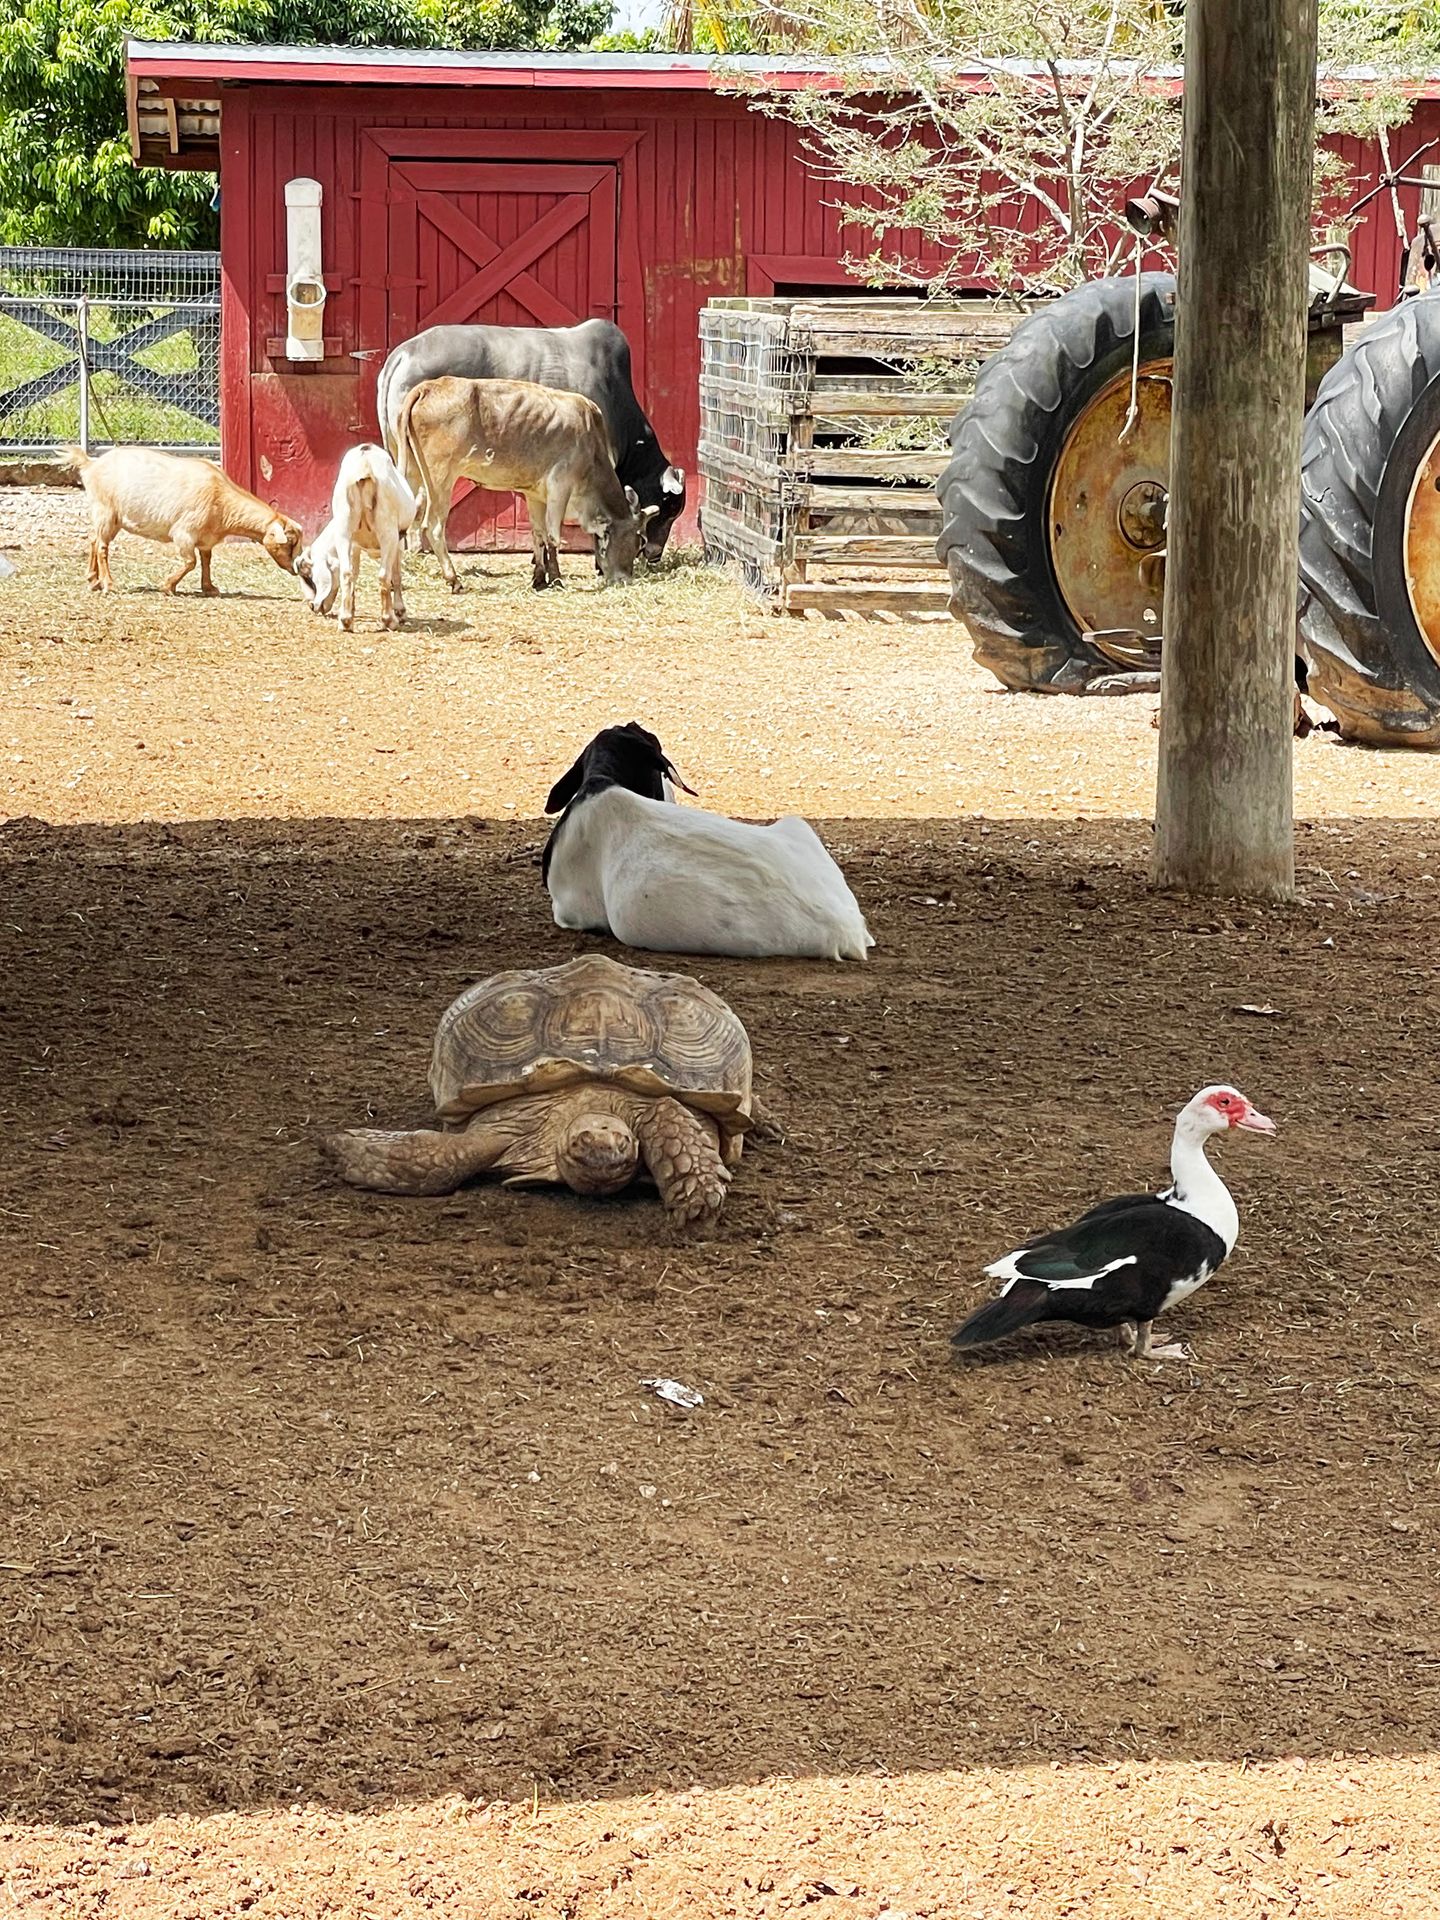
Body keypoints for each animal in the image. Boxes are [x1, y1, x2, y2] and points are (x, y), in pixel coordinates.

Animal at [64, 446, 302, 595]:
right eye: (289, 542)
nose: (295, 569)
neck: (221, 498)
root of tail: (90, 466)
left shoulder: (206, 539)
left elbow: (206, 559)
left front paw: (209, 587)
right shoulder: (184, 533)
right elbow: (190, 561)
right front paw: (168, 586)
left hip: (111, 518)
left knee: (93, 539)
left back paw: (93, 580)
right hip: (105, 511)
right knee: (102, 546)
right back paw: (108, 584)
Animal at [297, 443, 417, 632]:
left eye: (309, 577)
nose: (312, 606)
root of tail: (365, 464)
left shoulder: (354, 544)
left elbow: (353, 573)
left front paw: (350, 611)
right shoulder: (397, 542)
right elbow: (396, 576)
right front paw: (400, 612)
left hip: (345, 528)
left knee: (346, 573)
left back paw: (345, 621)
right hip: (388, 531)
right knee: (384, 575)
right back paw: (389, 620)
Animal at [396, 375, 655, 593]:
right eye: (637, 542)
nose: (625, 579)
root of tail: (429, 386)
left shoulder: (535, 494)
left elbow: (538, 534)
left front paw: (539, 578)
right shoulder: (560, 486)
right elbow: (553, 536)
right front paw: (556, 578)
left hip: (411, 474)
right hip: (441, 478)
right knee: (433, 527)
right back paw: (454, 579)